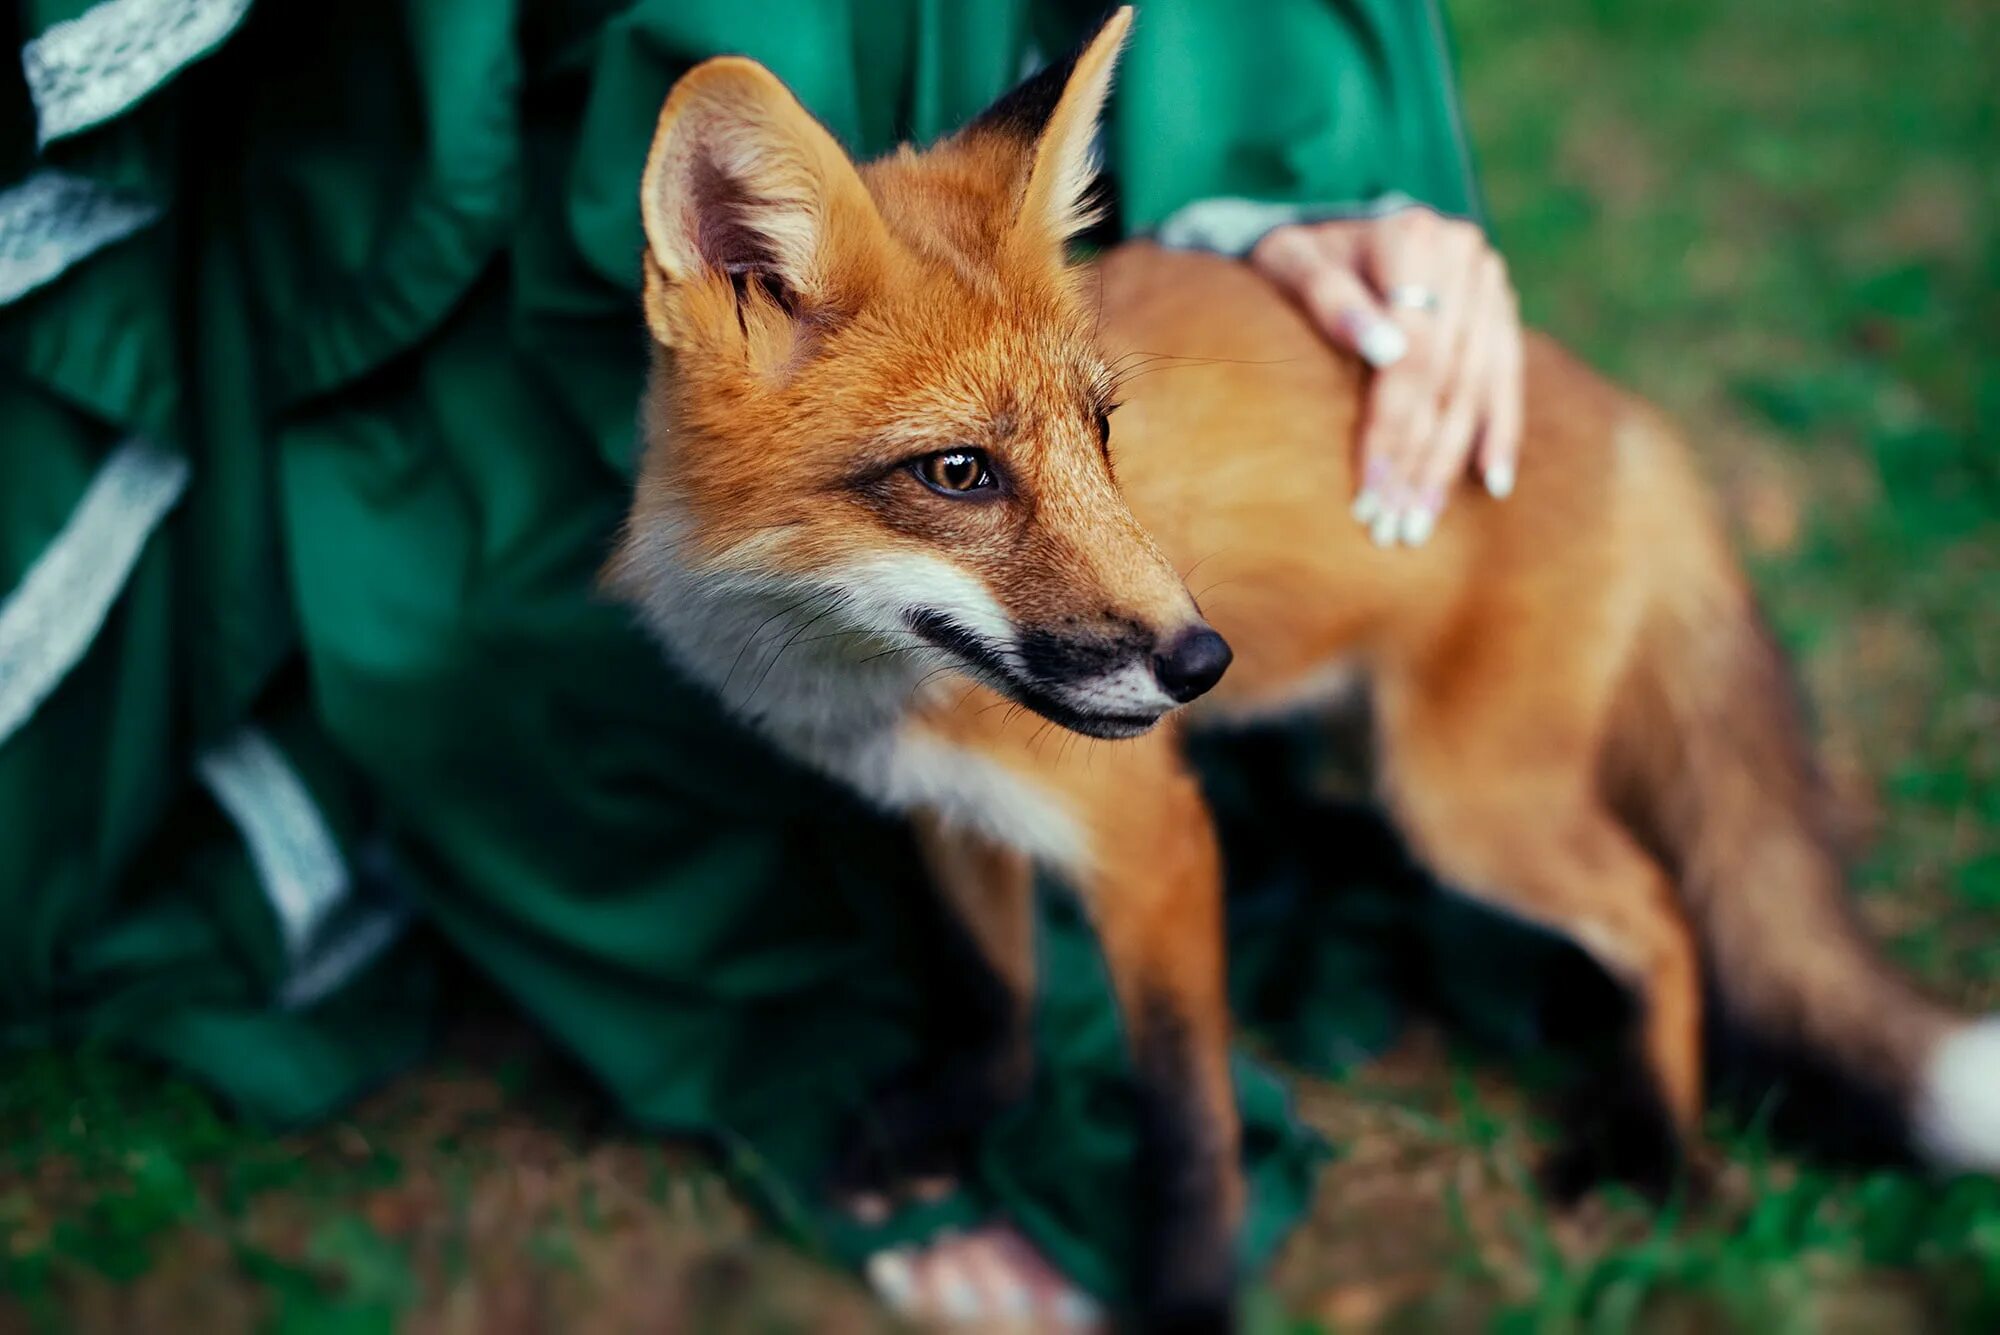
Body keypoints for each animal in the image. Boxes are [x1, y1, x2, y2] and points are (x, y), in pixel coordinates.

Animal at [608, 7, 2000, 1327]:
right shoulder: (951, 812)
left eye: (1102, 433)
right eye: (958, 473)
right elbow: (993, 1004)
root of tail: (1631, 417)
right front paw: (934, 1134)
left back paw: (1648, 1148)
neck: (860, 684)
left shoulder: (1154, 843)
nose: (1201, 661)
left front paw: (1186, 1297)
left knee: (1663, 913)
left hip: (1463, 800)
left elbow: (1186, 1123)